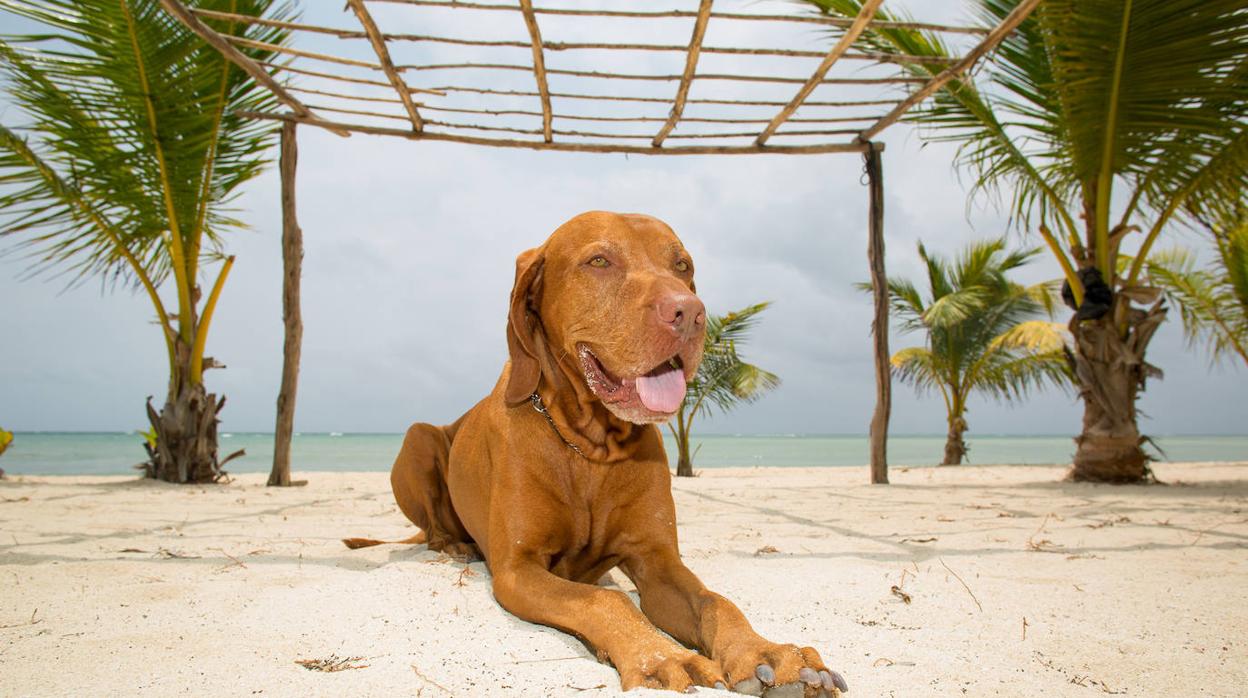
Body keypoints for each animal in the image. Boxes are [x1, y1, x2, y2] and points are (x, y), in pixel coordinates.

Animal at [346, 209, 843, 694]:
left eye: (682, 266)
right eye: (599, 261)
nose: (689, 312)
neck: (590, 447)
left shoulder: (657, 563)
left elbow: (715, 601)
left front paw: (769, 654)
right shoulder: (517, 569)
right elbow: (606, 599)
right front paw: (661, 656)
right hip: (418, 438)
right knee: (432, 527)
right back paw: (455, 544)